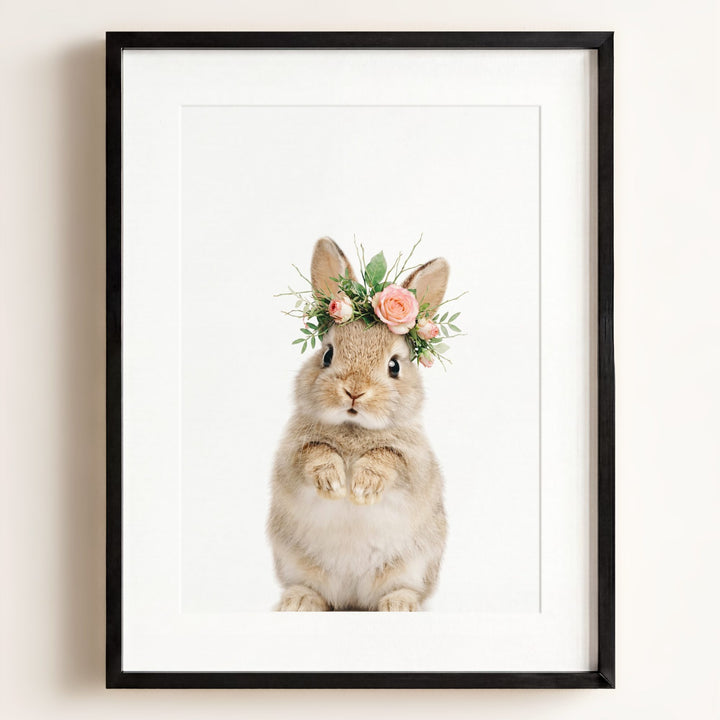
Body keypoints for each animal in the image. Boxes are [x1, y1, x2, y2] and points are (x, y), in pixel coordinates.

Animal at [267, 237, 448, 611]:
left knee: (403, 589)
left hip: (414, 565)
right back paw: (298, 601)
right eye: (327, 355)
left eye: (394, 366)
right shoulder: (292, 455)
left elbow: (387, 458)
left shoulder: (414, 462)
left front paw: (362, 488)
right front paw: (334, 483)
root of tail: (352, 598)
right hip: (295, 563)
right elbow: (315, 453)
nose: (354, 390)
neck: (354, 430)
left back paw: (400, 605)